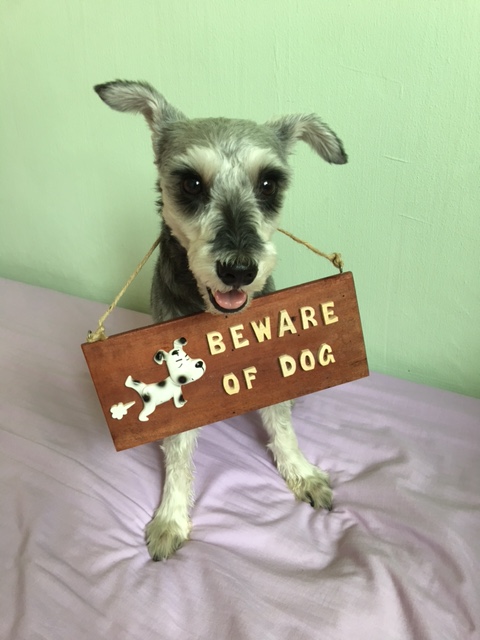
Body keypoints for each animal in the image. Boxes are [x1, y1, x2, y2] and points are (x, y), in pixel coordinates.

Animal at [94, 79, 347, 560]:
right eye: (191, 182)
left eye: (269, 182)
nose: (238, 270)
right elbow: (177, 450)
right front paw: (171, 517)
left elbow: (281, 424)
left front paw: (302, 473)